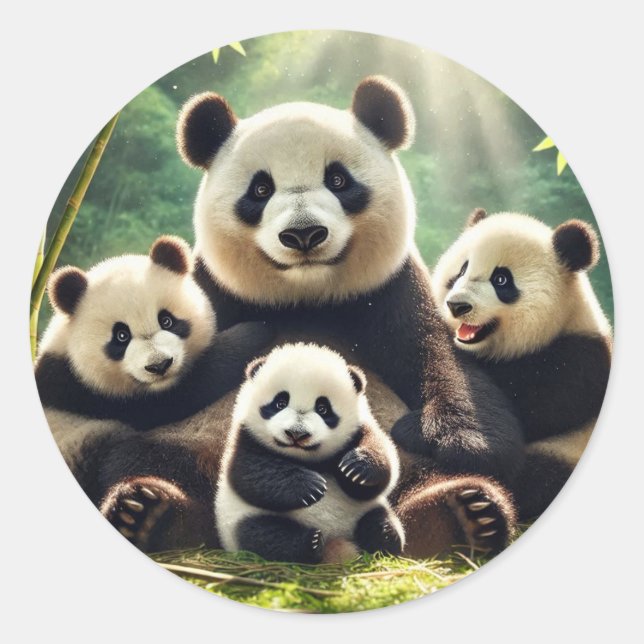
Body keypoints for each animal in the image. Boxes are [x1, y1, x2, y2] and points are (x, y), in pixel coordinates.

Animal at [35, 235, 273, 549]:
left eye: (167, 320)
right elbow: (187, 389)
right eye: (121, 336)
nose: (159, 365)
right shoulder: (88, 391)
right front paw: (255, 333)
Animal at [215, 343, 404, 564]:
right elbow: (251, 473)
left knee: (378, 521)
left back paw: (385, 539)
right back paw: (310, 543)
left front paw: (356, 468)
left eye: (323, 408)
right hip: (242, 521)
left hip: (365, 512)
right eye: (280, 403)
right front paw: (310, 487)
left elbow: (380, 462)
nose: (296, 434)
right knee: (264, 535)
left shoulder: (359, 429)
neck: (305, 459)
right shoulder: (244, 439)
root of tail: (336, 543)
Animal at [432, 209, 612, 518]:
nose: (457, 306)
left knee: (535, 478)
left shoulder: (578, 363)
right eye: (462, 270)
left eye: (502, 279)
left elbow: (526, 407)